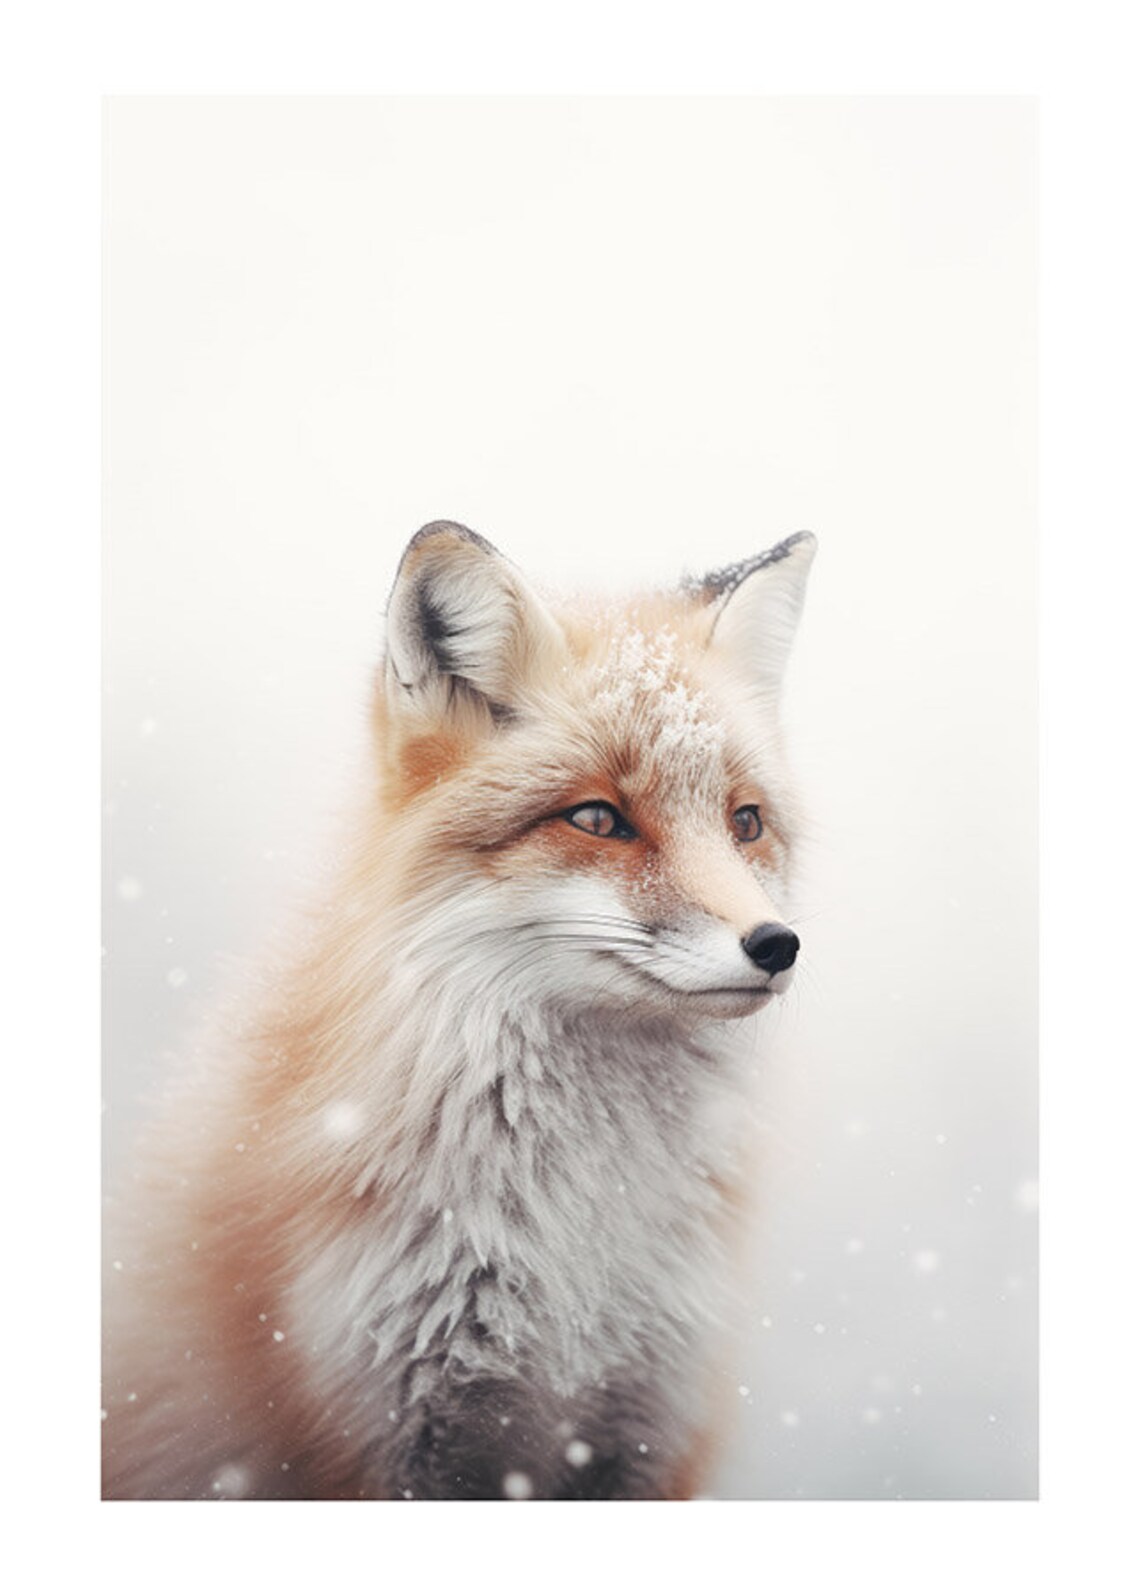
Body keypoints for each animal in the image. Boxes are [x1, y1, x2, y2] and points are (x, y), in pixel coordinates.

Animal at [102, 519, 816, 1500]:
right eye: (598, 819)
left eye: (745, 823)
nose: (777, 945)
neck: (580, 1252)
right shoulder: (384, 1429)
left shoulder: (644, 1429)